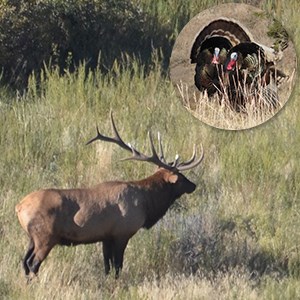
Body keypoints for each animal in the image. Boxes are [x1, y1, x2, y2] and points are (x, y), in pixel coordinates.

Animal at [16, 113, 204, 278]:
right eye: (181, 177)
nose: (194, 185)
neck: (146, 203)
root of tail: (19, 207)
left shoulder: (106, 236)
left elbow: (106, 266)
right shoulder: (122, 232)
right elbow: (118, 265)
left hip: (32, 238)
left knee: (24, 262)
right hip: (45, 236)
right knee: (33, 264)